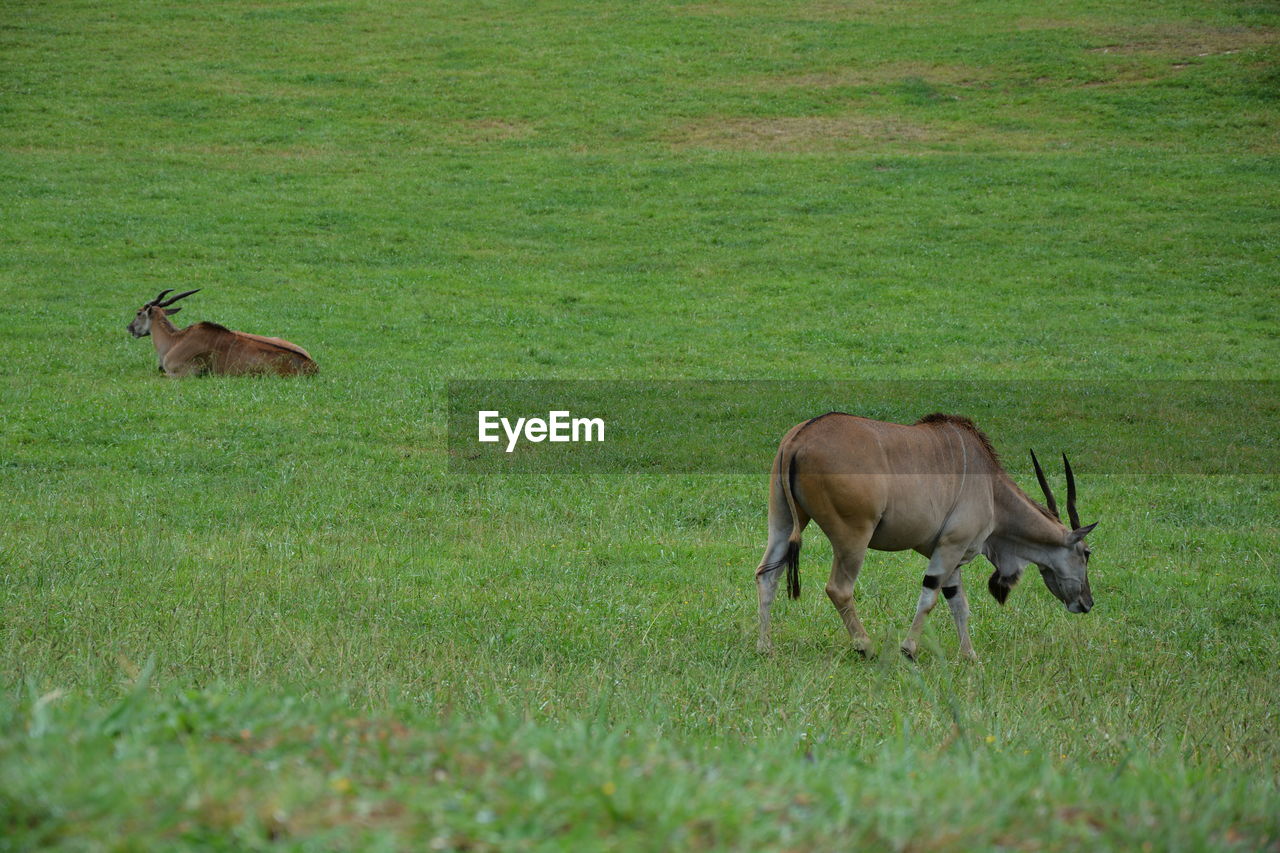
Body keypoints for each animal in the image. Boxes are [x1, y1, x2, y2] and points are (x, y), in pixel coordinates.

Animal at [752, 412, 1095, 655]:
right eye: (1087, 553)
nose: (1087, 603)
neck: (991, 489)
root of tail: (799, 438)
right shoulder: (950, 547)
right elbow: (930, 598)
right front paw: (908, 649)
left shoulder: (952, 555)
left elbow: (958, 603)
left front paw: (970, 656)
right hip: (853, 537)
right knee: (839, 588)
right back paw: (866, 646)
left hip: (783, 523)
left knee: (766, 575)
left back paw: (765, 647)